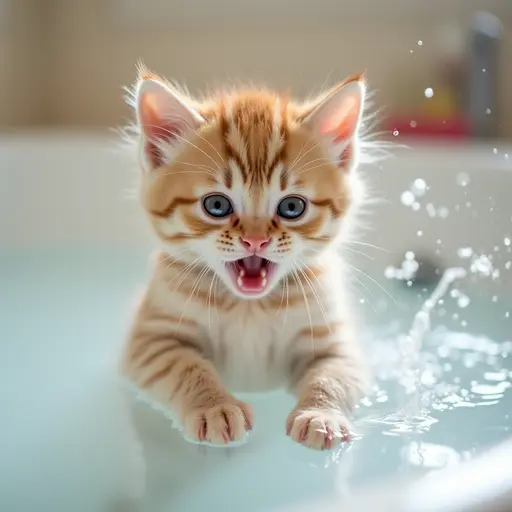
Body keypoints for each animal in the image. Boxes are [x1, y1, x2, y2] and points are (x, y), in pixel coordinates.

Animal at [120, 66, 368, 450]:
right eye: (216, 205)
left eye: (292, 207)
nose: (256, 240)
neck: (249, 307)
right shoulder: (150, 340)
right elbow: (186, 367)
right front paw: (215, 407)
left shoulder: (337, 346)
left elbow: (333, 376)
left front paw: (321, 414)